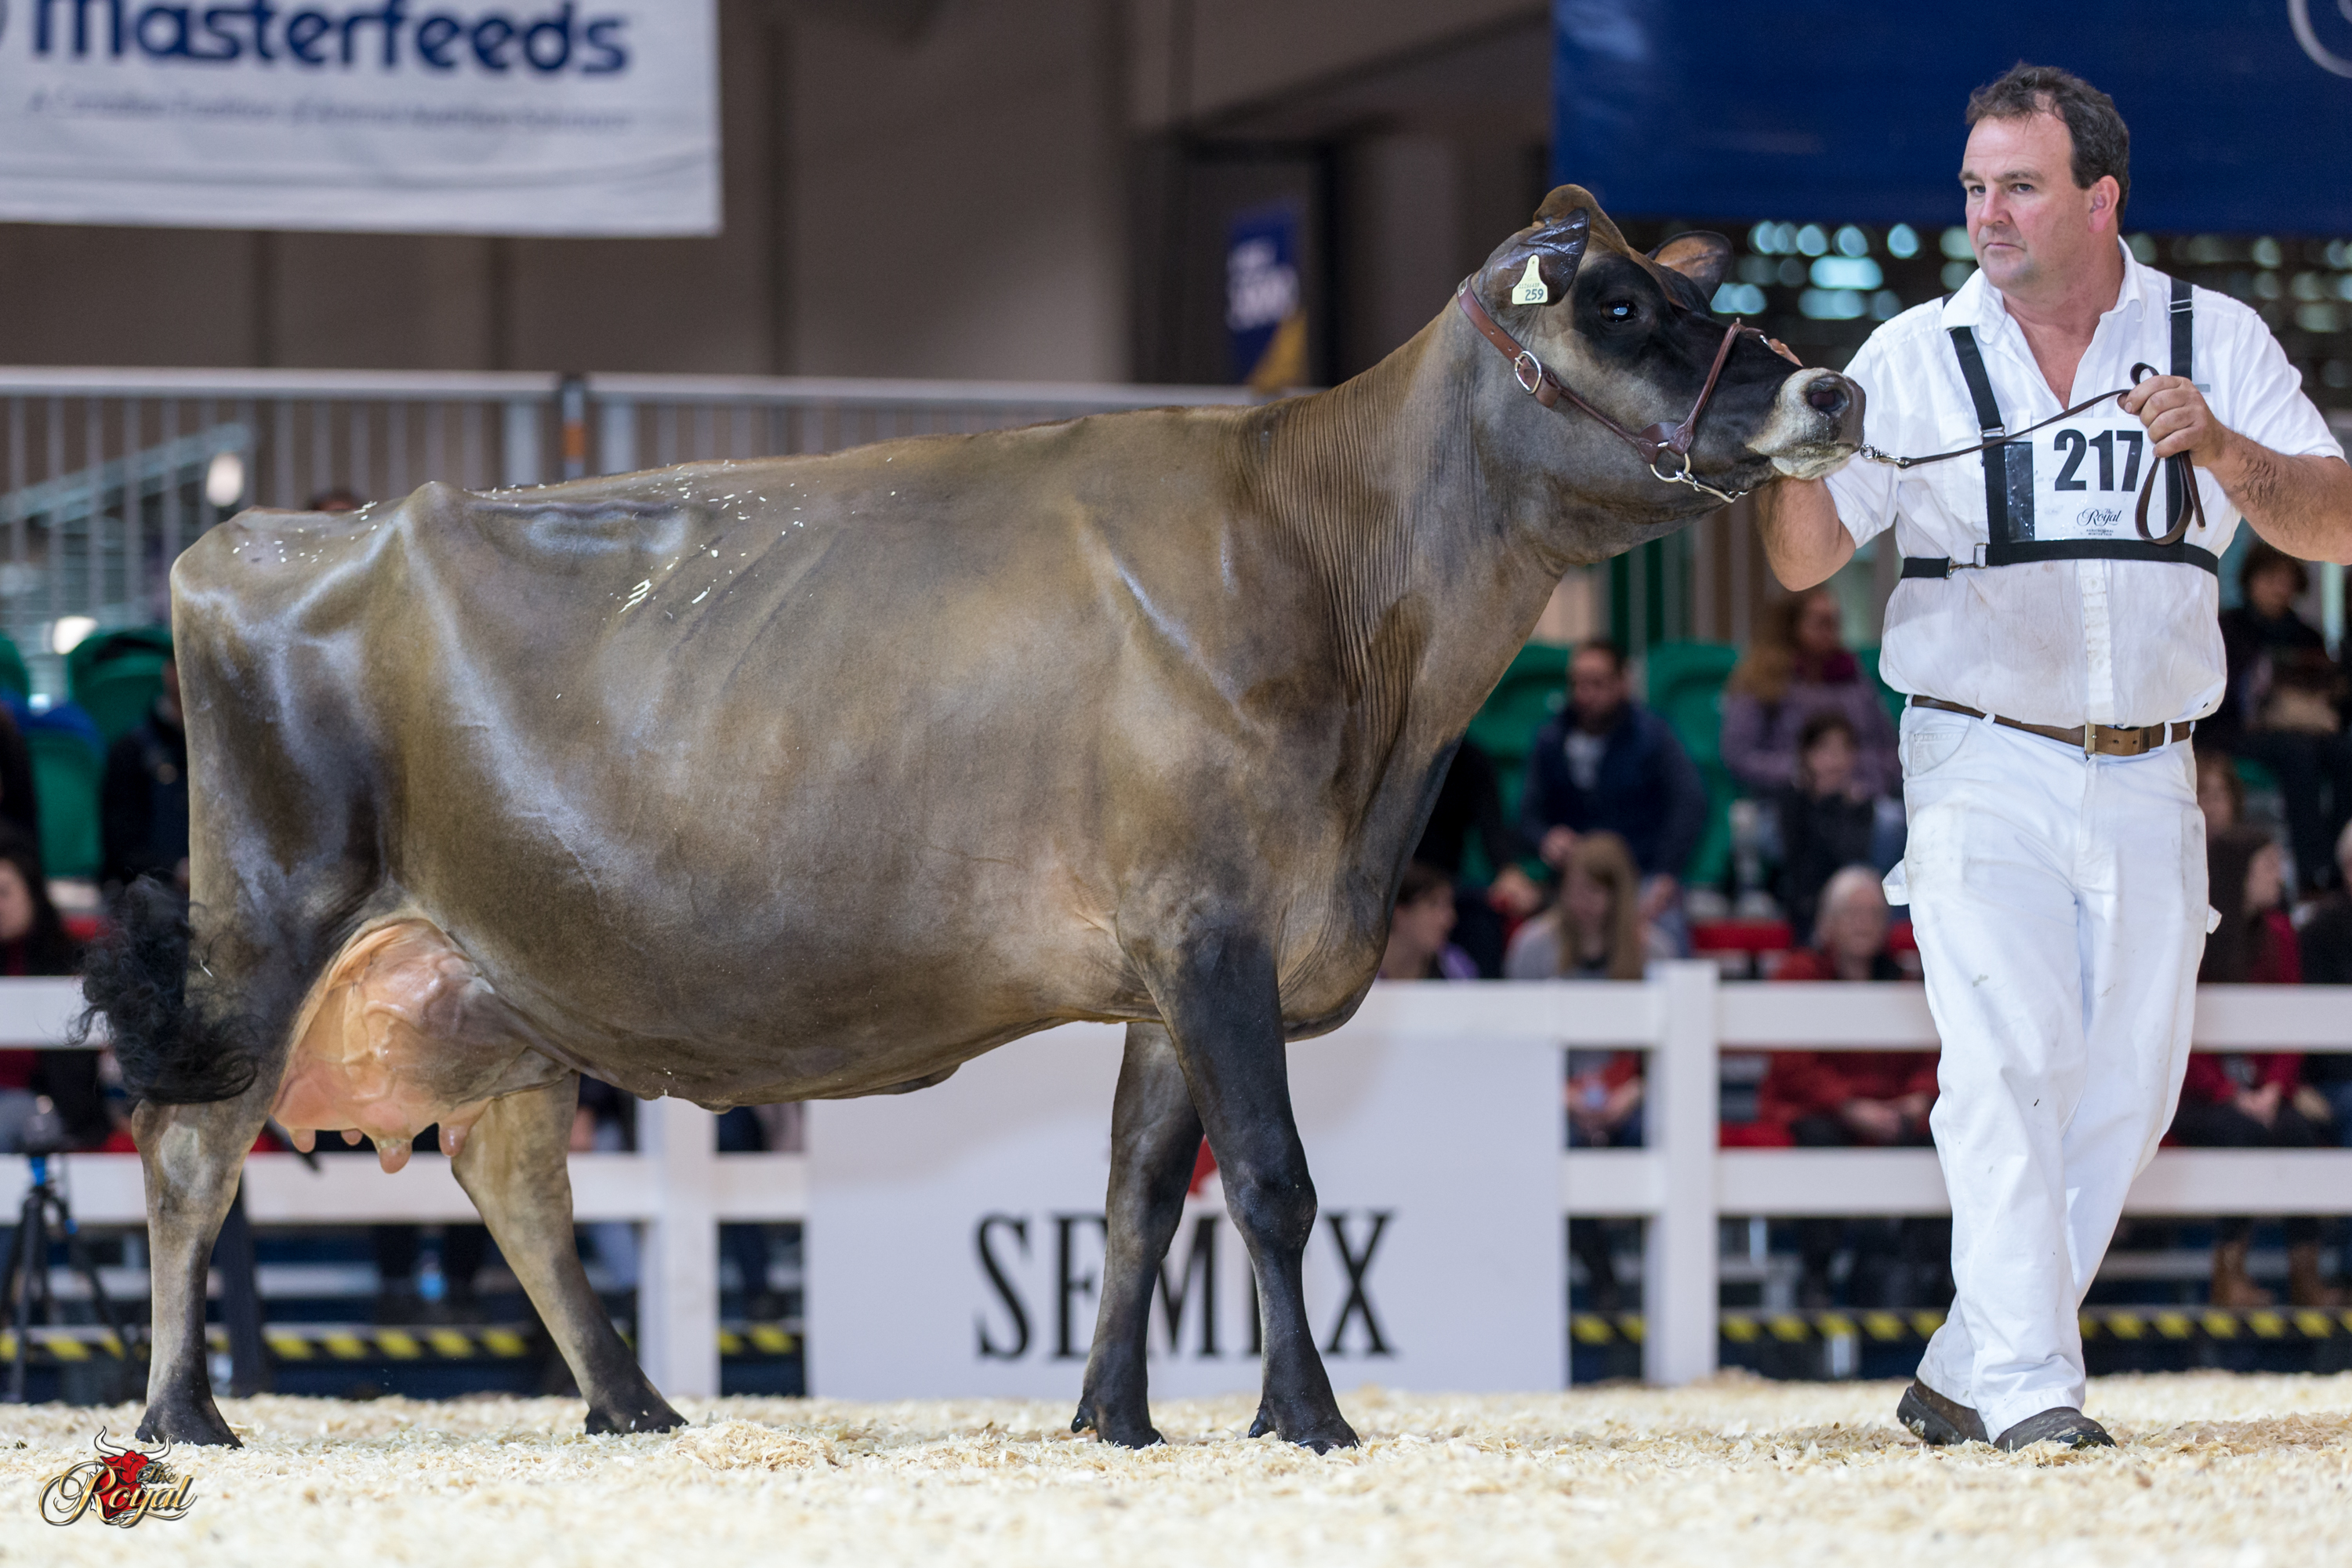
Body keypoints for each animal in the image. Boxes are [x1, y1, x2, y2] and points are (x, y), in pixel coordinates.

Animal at [86, 186, 1859, 1454]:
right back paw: (185, 1412)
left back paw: (635, 1403)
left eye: (1695, 295)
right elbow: (1273, 1181)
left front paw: (1113, 1417)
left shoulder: (1175, 961)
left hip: (488, 975)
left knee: (511, 1170)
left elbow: (1142, 1192)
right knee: (191, 1146)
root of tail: (251, 537)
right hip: (270, 917)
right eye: (1624, 307)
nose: (1833, 388)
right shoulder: (1214, 927)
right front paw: (1305, 1418)